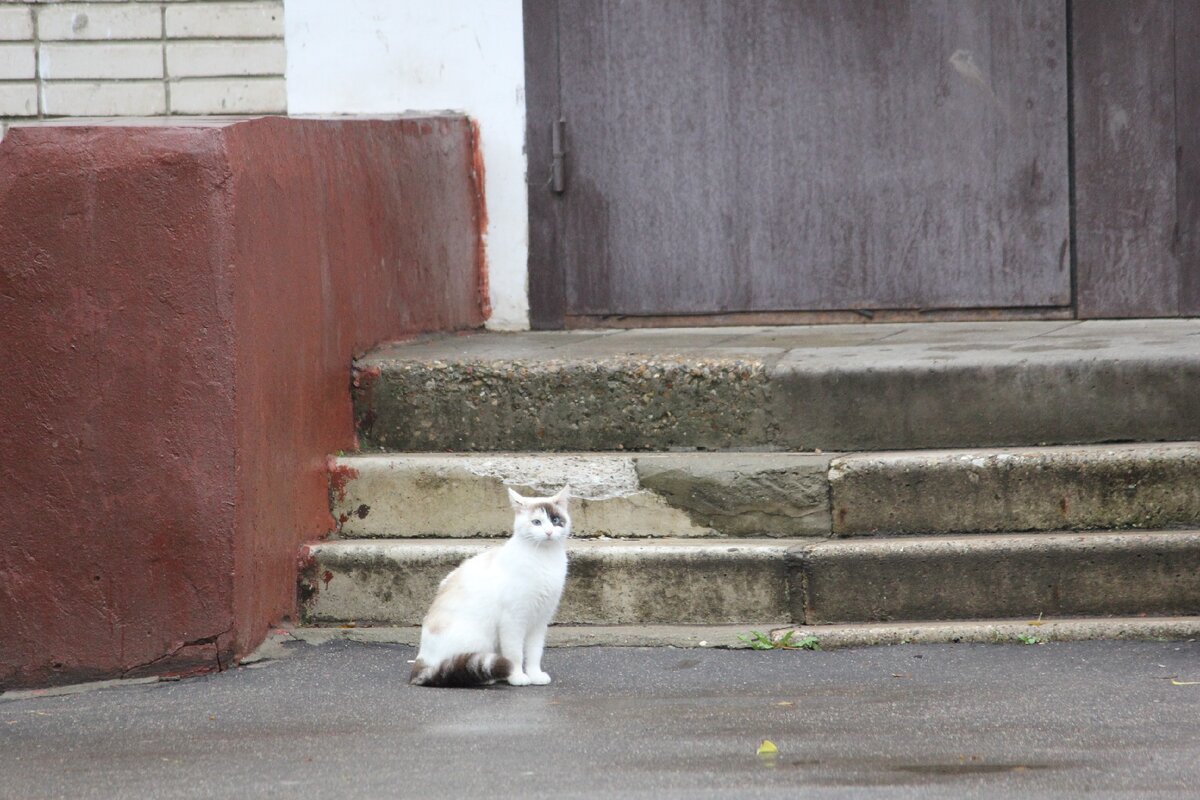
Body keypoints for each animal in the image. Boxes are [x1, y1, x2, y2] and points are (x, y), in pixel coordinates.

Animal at [408, 484, 571, 686]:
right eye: (536, 522)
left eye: (555, 520)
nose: (548, 532)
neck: (545, 559)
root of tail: (421, 660)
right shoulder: (512, 621)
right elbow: (515, 654)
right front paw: (517, 677)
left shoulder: (540, 621)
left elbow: (535, 653)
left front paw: (535, 675)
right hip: (479, 639)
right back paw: (487, 678)